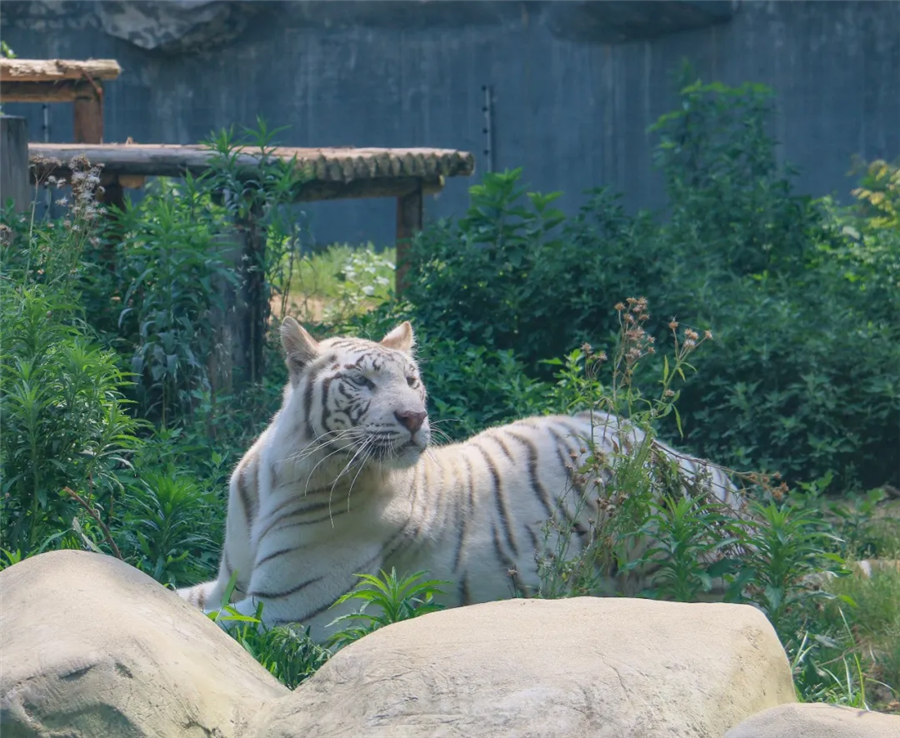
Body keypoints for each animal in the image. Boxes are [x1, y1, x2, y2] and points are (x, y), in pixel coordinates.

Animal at [178, 316, 744, 640]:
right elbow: (175, 598)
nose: (414, 417)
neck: (280, 470)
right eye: (361, 381)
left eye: (411, 381)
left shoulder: (291, 612)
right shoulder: (228, 584)